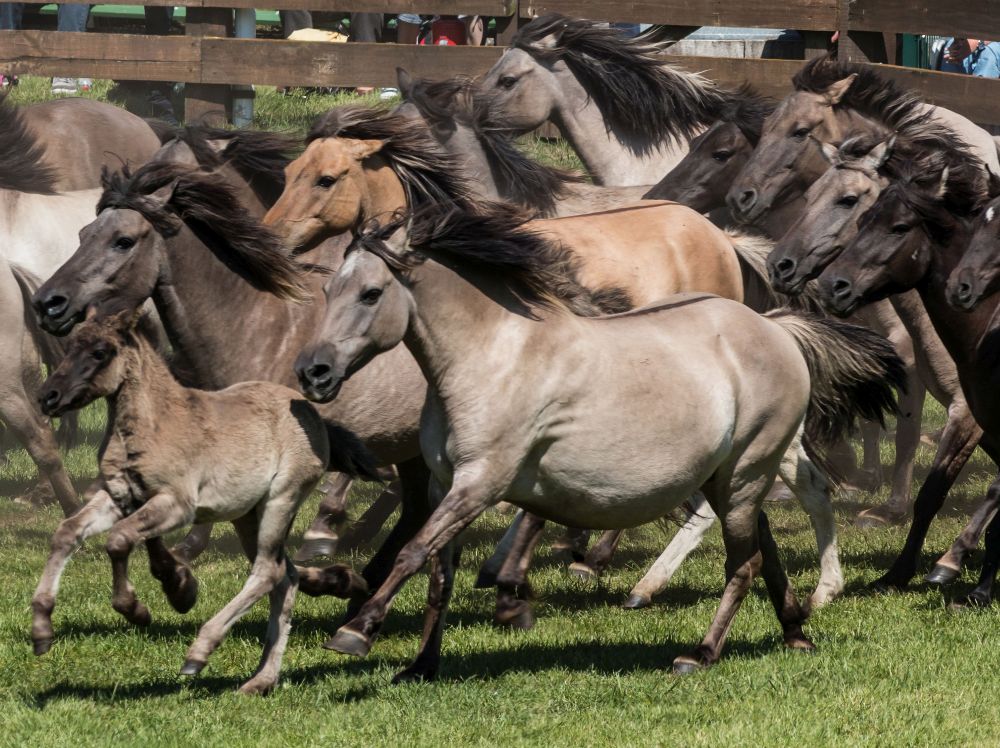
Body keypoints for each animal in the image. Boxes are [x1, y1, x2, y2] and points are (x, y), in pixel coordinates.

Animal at [33, 312, 374, 696]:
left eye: (100, 352)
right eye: (69, 346)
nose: (47, 397)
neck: (154, 424)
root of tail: (317, 418)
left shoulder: (177, 504)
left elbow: (118, 540)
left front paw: (135, 609)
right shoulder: (120, 497)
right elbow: (67, 532)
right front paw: (41, 629)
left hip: (281, 499)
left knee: (268, 571)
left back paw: (200, 652)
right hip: (247, 516)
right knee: (284, 577)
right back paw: (261, 679)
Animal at [292, 212, 908, 684]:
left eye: (372, 293)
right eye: (327, 290)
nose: (313, 372)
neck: (494, 356)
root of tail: (777, 329)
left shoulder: (481, 482)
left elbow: (413, 552)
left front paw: (355, 631)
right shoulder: (449, 484)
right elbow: (439, 574)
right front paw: (420, 666)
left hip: (745, 472)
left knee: (745, 563)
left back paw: (700, 653)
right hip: (729, 478)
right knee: (765, 551)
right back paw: (796, 632)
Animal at [816, 153, 1000, 600]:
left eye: (899, 227)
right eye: (863, 222)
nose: (832, 285)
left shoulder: (965, 417)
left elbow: (933, 492)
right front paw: (906, 571)